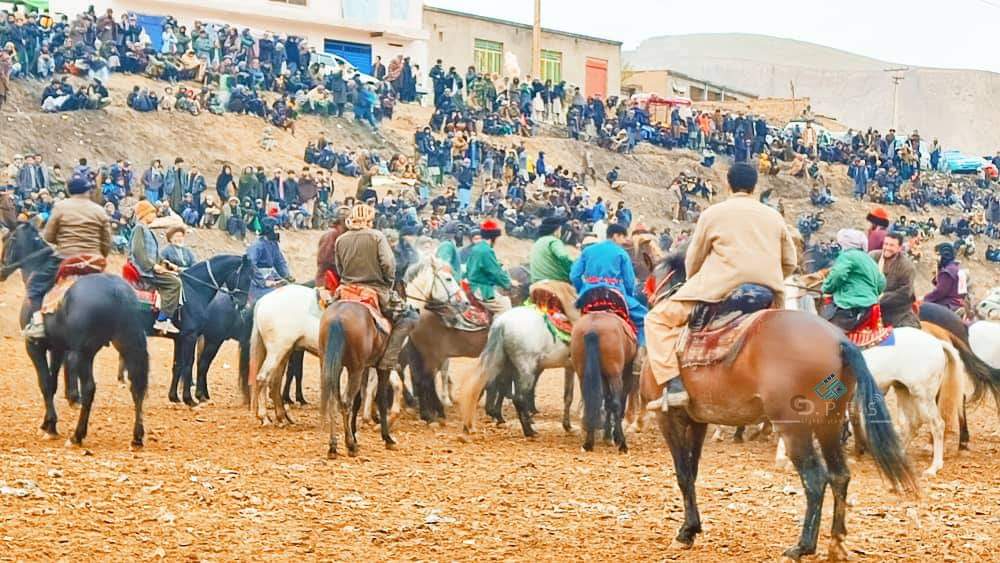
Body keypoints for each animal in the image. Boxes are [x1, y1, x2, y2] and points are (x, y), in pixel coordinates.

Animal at [0, 225, 148, 450]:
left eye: (8, 239)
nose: (1, 271)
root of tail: (117, 290)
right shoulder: (58, 348)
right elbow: (52, 383)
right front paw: (47, 424)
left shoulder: (34, 346)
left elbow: (45, 383)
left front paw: (51, 426)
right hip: (127, 344)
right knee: (136, 387)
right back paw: (137, 437)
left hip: (83, 353)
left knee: (89, 388)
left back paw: (77, 436)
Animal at [568, 302, 636, 452]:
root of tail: (593, 329)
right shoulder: (625, 373)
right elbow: (617, 402)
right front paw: (614, 437)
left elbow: (606, 401)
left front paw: (607, 436)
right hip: (614, 374)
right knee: (616, 403)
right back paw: (622, 444)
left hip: (583, 374)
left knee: (591, 402)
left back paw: (588, 443)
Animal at [640, 252, 916, 563]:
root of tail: (840, 341)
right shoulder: (697, 421)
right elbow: (692, 470)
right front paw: (692, 527)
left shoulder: (668, 418)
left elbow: (683, 474)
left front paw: (686, 532)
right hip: (829, 424)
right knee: (840, 475)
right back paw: (836, 542)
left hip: (795, 428)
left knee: (815, 479)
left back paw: (802, 546)